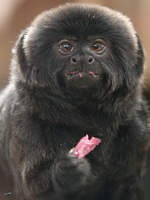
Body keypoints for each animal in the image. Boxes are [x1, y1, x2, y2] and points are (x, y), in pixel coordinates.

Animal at [0, 3, 150, 200]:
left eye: (97, 46)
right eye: (66, 46)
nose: (82, 58)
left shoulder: (137, 128)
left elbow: (128, 184)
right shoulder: (23, 124)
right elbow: (34, 189)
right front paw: (66, 170)